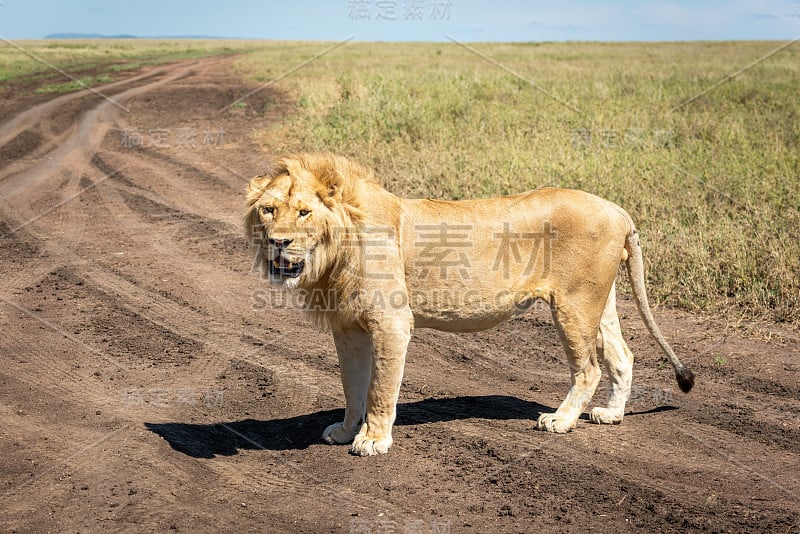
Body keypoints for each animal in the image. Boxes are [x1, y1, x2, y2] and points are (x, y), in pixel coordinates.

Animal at [244, 153, 692, 458]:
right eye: (269, 210)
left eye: (304, 212)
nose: (278, 242)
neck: (334, 250)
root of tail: (618, 209)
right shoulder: (348, 326)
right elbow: (352, 384)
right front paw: (343, 431)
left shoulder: (391, 322)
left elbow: (380, 387)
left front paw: (373, 439)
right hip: (600, 301)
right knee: (622, 356)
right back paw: (611, 414)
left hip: (574, 305)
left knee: (590, 368)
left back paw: (561, 420)